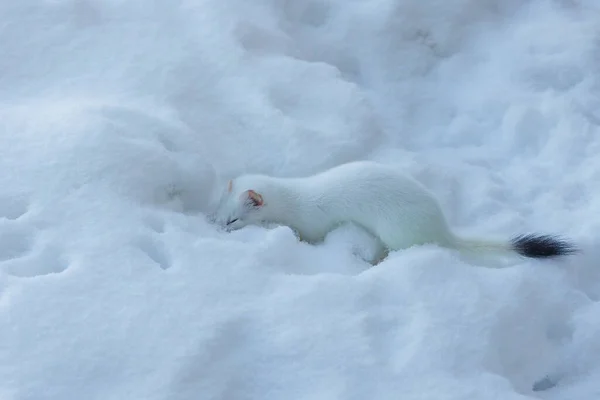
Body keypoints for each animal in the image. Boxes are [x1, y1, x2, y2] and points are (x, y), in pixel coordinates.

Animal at [212, 159, 576, 262]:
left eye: (234, 219)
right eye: (218, 211)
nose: (217, 228)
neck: (296, 197)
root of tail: (441, 227)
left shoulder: (314, 223)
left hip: (397, 231)